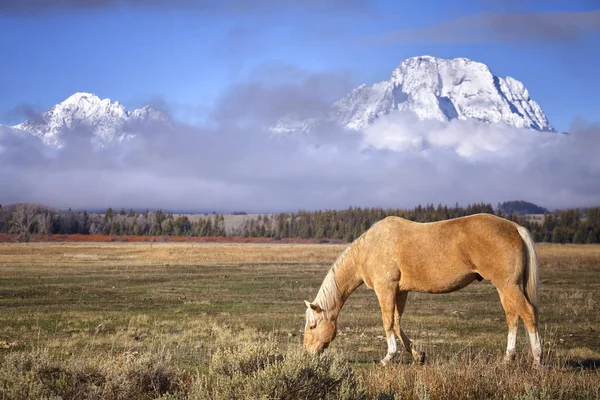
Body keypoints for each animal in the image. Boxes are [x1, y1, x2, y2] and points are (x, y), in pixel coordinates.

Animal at [302, 214, 540, 368]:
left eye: (313, 325)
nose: (308, 353)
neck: (368, 249)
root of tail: (515, 228)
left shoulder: (385, 289)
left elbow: (387, 322)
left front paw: (388, 357)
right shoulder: (400, 292)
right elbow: (397, 323)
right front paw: (418, 356)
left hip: (507, 286)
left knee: (528, 314)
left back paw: (537, 359)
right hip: (506, 288)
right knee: (512, 317)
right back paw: (508, 358)